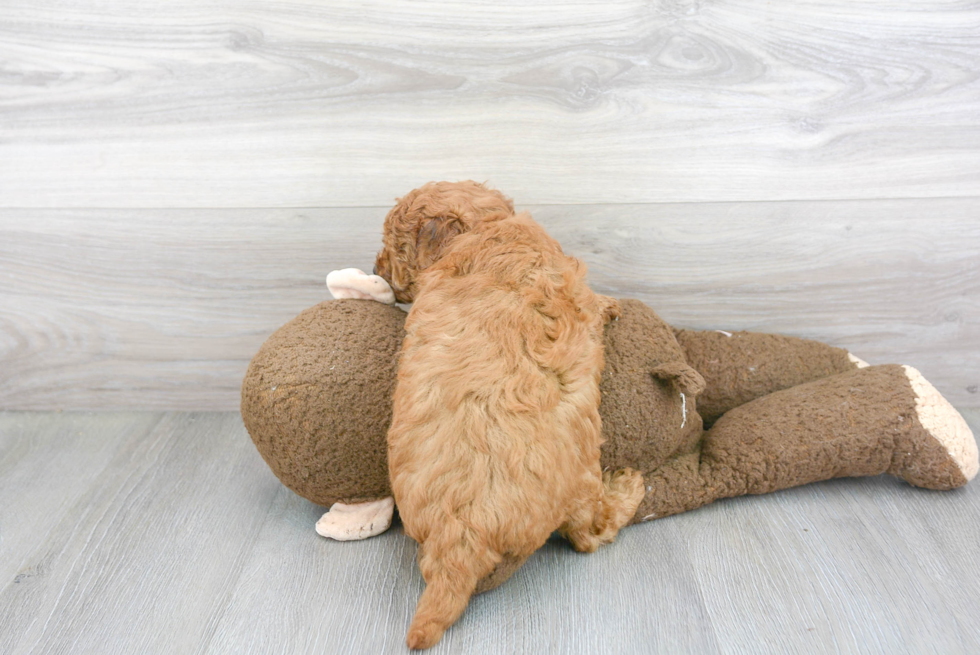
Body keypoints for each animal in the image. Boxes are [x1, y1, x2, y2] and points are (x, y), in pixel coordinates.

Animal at [376, 181, 644, 652]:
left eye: (390, 248)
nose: (375, 267)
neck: (481, 229)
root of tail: (460, 540)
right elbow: (595, 304)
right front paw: (612, 304)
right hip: (582, 484)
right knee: (591, 534)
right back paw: (630, 486)